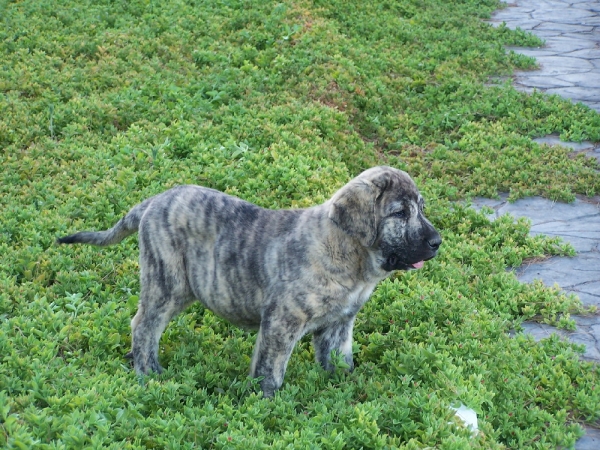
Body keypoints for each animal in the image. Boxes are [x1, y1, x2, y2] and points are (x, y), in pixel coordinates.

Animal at [57, 166, 440, 398]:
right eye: (400, 212)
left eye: (420, 208)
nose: (437, 241)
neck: (349, 254)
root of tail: (153, 201)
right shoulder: (282, 321)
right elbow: (271, 367)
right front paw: (268, 403)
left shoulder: (338, 324)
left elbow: (339, 359)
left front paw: (343, 391)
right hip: (166, 282)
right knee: (144, 326)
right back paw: (148, 374)